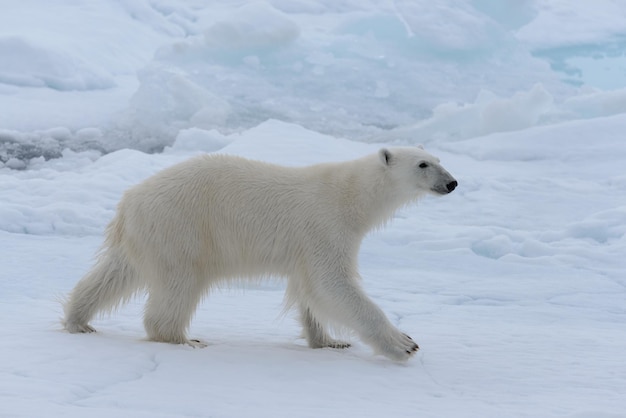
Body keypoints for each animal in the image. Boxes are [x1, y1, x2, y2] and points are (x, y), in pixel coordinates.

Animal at [62, 146, 454, 360]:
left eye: (438, 158)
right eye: (422, 164)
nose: (452, 182)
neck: (350, 196)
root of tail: (129, 202)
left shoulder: (307, 246)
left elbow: (309, 291)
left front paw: (329, 341)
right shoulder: (325, 225)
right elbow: (332, 284)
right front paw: (404, 344)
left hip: (146, 235)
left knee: (114, 274)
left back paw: (79, 319)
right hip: (183, 228)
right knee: (179, 284)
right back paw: (185, 339)